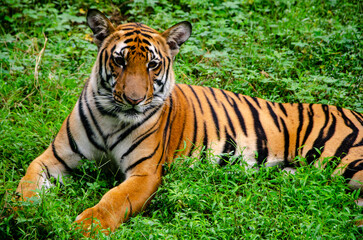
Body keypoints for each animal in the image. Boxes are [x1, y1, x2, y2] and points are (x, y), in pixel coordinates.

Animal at [16, 7, 363, 234]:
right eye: (120, 60)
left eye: (153, 65)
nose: (133, 99)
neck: (113, 118)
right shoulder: (54, 157)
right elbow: (27, 180)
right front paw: (21, 211)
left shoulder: (145, 173)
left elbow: (112, 200)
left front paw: (86, 227)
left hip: (346, 161)